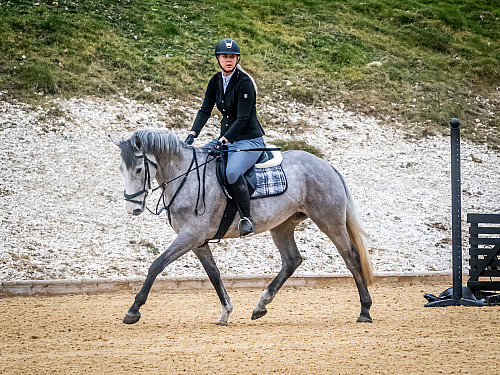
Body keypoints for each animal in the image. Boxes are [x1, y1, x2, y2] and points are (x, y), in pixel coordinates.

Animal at [110, 129, 376, 326]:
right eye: (121, 169)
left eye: (139, 169)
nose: (132, 209)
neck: (186, 176)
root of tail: (325, 165)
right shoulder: (197, 241)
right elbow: (214, 274)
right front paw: (225, 312)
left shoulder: (190, 235)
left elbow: (156, 265)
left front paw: (133, 311)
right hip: (282, 225)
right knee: (292, 260)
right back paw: (261, 306)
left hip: (329, 220)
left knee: (351, 257)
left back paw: (365, 310)